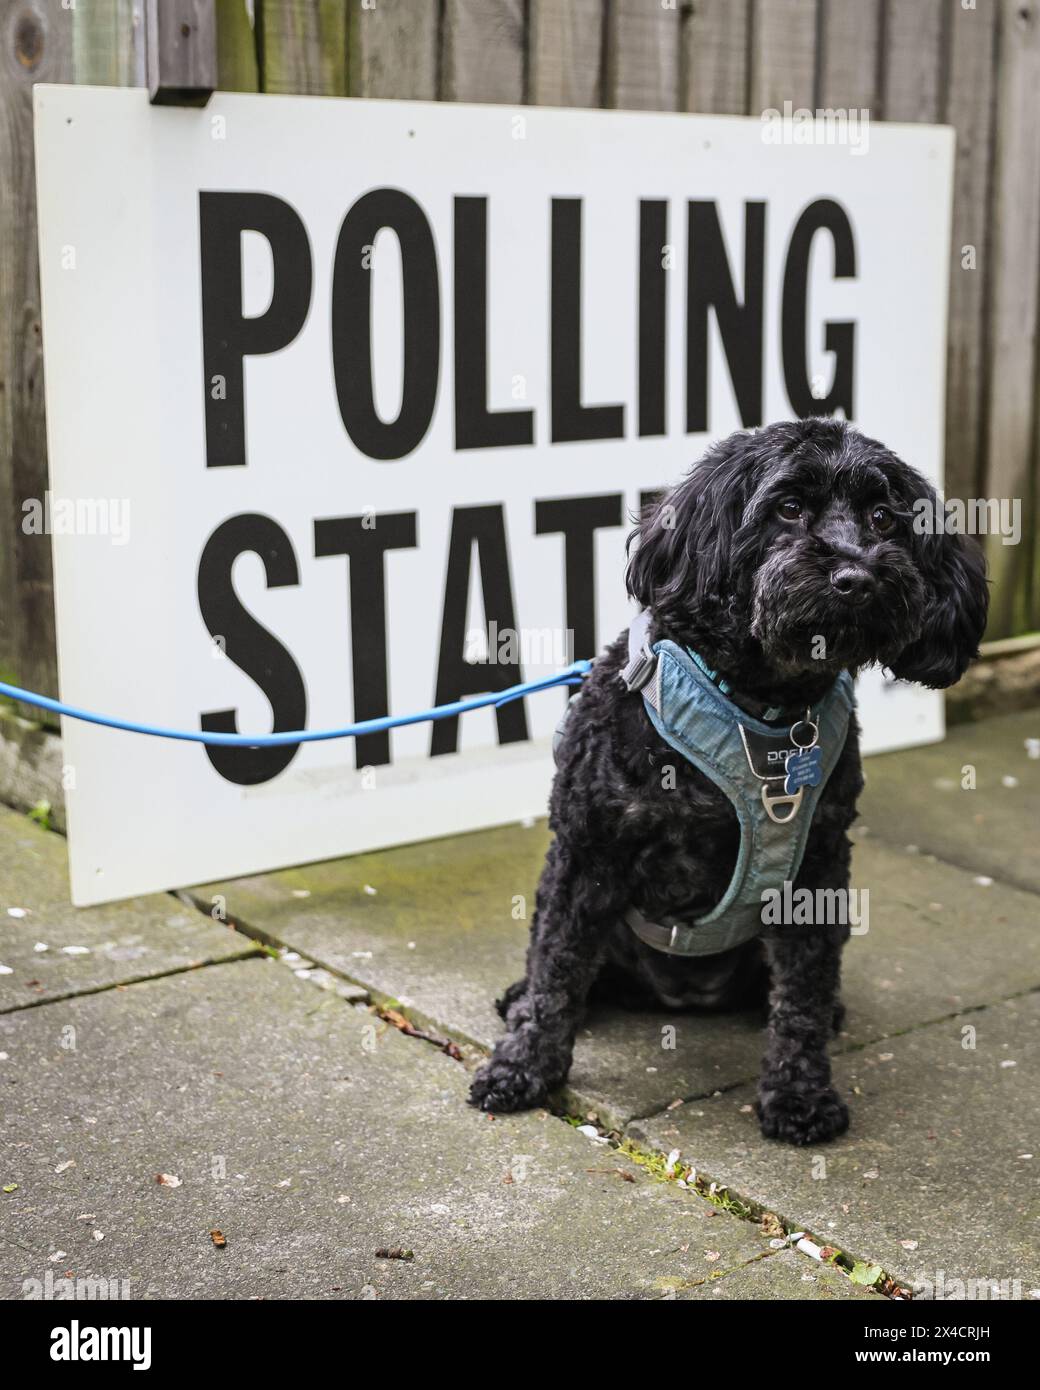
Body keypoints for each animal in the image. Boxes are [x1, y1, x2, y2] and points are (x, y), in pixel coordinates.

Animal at [467, 417, 989, 1145]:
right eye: (788, 507)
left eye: (885, 518)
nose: (856, 575)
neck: (763, 704)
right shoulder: (588, 849)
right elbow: (556, 972)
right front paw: (523, 1068)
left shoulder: (817, 871)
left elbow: (800, 998)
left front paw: (800, 1094)